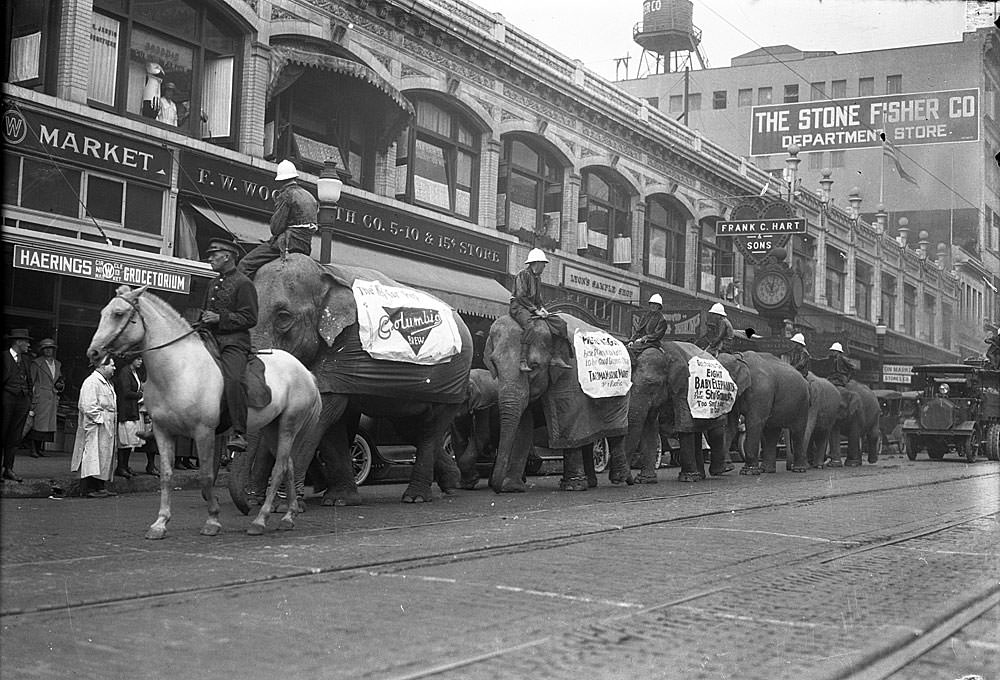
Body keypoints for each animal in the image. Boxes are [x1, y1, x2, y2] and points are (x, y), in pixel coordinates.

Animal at [88, 284, 320, 540]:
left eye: (118, 313)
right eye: (102, 313)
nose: (94, 352)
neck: (179, 369)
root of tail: (305, 371)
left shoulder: (204, 432)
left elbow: (206, 476)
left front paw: (212, 521)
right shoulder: (162, 431)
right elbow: (166, 475)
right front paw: (160, 523)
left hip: (289, 424)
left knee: (279, 468)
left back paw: (260, 521)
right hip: (272, 427)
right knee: (288, 465)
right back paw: (288, 516)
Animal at [230, 252, 472, 508]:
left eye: (283, 316)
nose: (249, 504)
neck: (323, 271)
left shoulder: (343, 346)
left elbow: (322, 413)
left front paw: (283, 507)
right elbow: (332, 421)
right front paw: (339, 501)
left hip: (454, 378)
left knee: (431, 428)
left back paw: (416, 497)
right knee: (410, 427)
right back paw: (451, 484)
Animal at [482, 316, 628, 492]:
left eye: (534, 366)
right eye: (494, 365)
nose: (496, 488)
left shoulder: (571, 372)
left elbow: (568, 417)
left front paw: (573, 487)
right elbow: (524, 423)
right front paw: (512, 488)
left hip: (620, 394)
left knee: (614, 431)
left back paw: (619, 480)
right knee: (588, 434)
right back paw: (592, 483)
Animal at [628, 340, 748, 484]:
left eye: (652, 384)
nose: (629, 481)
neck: (666, 353)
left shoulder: (685, 384)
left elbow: (684, 425)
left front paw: (687, 478)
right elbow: (650, 426)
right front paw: (645, 480)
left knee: (716, 428)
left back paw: (718, 471)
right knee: (697, 430)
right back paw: (700, 475)